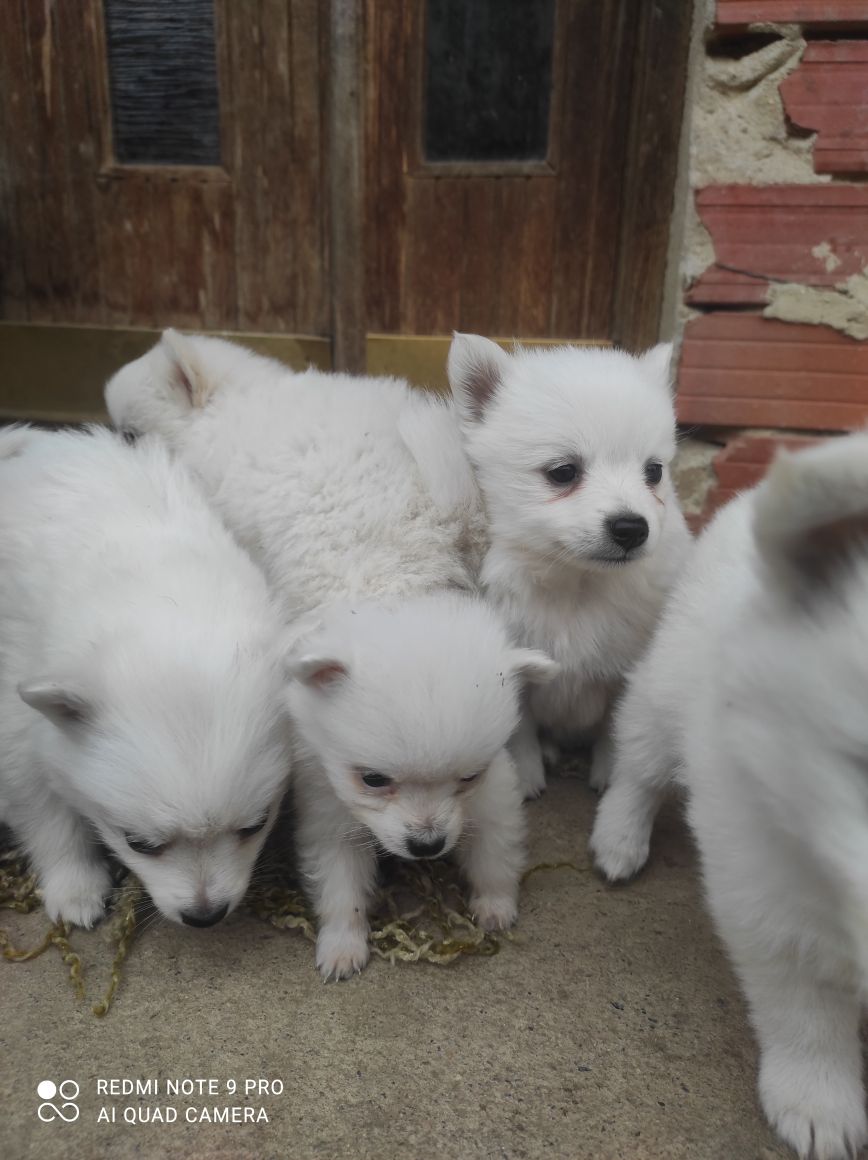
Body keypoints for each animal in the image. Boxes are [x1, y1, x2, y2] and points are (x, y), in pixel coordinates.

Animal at [0, 426, 292, 929]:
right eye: (139, 844)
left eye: (255, 826)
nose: (205, 915)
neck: (163, 599)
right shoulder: (16, 718)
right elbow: (46, 812)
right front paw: (74, 887)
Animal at [444, 334, 691, 797]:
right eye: (563, 472)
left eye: (653, 472)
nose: (632, 527)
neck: (578, 584)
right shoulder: (517, 670)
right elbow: (520, 727)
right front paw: (525, 776)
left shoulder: (624, 671)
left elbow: (613, 726)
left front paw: (609, 772)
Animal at [591, 434, 868, 1160]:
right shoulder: (766, 884)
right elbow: (803, 1007)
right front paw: (819, 1100)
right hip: (665, 690)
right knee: (638, 763)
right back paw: (618, 838)